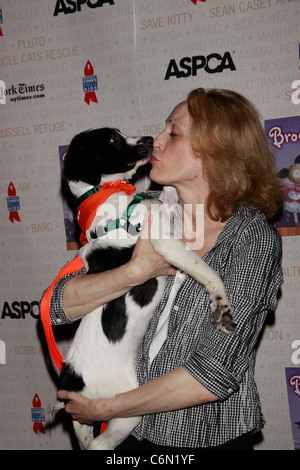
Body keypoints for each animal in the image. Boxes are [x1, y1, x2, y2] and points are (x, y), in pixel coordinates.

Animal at [55, 126, 236, 450]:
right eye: (112, 139)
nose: (151, 140)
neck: (110, 197)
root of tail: (71, 381)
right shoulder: (164, 241)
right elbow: (209, 272)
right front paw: (221, 303)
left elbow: (167, 195)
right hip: (123, 409)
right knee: (100, 444)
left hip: (87, 416)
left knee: (85, 438)